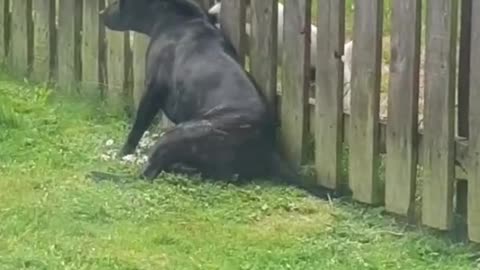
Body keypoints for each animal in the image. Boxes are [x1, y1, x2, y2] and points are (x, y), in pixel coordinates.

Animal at [100, 0, 298, 184]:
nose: (101, 13)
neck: (176, 19)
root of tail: (269, 150)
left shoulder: (152, 89)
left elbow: (138, 127)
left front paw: (123, 152)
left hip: (181, 132)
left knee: (146, 174)